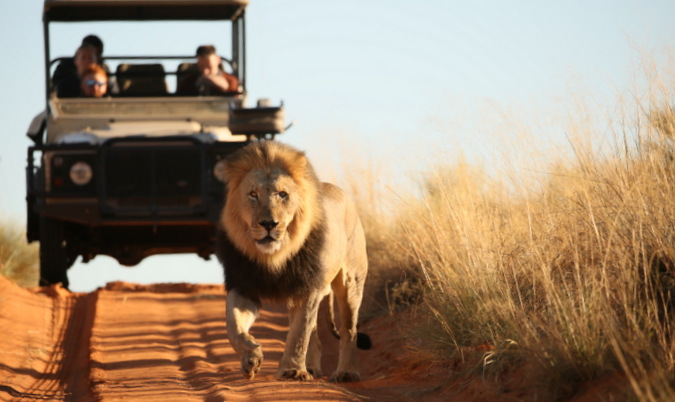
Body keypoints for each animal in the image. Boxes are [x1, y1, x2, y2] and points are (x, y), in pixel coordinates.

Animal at [217, 140, 370, 382]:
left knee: (348, 331)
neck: (272, 257)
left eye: (282, 194)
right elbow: (233, 325)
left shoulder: (307, 288)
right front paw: (251, 357)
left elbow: (299, 334)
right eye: (253, 194)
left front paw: (292, 370)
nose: (269, 223)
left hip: (351, 281)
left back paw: (346, 372)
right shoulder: (243, 284)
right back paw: (314, 369)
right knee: (316, 335)